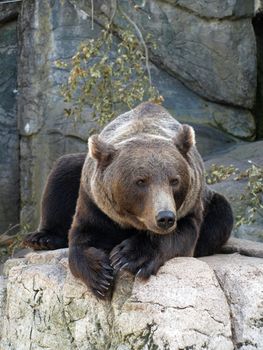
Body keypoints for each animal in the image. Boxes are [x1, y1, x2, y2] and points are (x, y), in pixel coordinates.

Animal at [23, 101, 234, 298]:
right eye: (140, 181)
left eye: (174, 180)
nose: (165, 217)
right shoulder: (95, 203)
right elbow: (83, 238)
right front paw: (100, 276)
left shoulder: (189, 206)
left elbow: (180, 235)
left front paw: (129, 257)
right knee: (62, 171)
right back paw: (42, 238)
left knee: (222, 214)